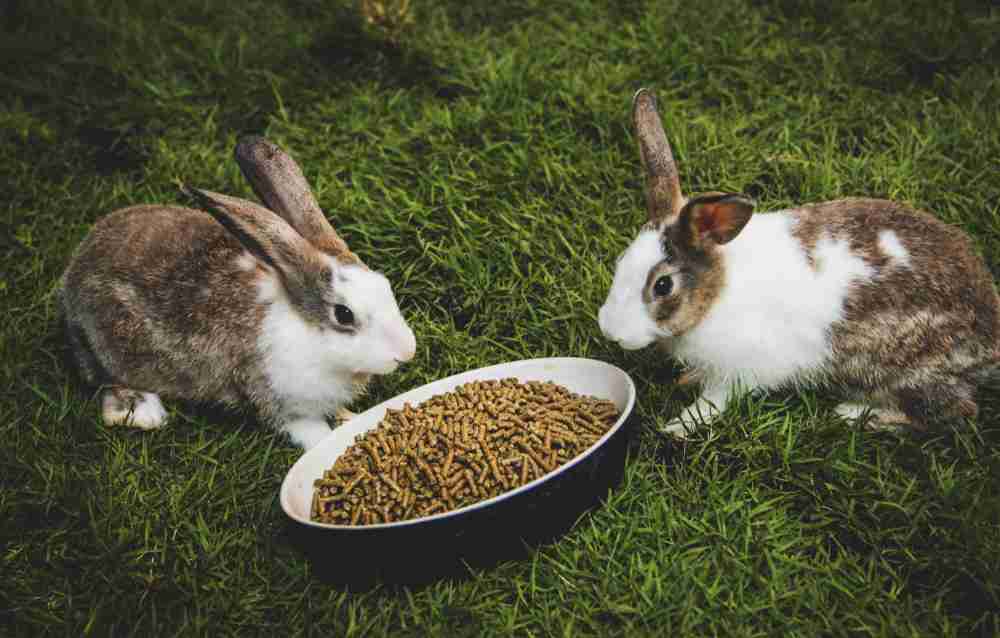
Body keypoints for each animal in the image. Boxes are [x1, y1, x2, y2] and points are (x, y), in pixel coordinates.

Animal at [56, 138, 416, 452]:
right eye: (344, 314)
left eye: (385, 285)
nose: (407, 352)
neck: (307, 331)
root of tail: (75, 269)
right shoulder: (280, 402)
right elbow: (310, 432)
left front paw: (350, 417)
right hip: (105, 351)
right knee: (104, 384)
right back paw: (144, 412)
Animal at [596, 90, 1000, 438]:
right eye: (620, 262)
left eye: (662, 285)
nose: (610, 330)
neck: (716, 294)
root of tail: (991, 336)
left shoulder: (740, 371)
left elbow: (714, 402)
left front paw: (678, 427)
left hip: (907, 373)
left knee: (954, 412)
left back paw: (857, 415)